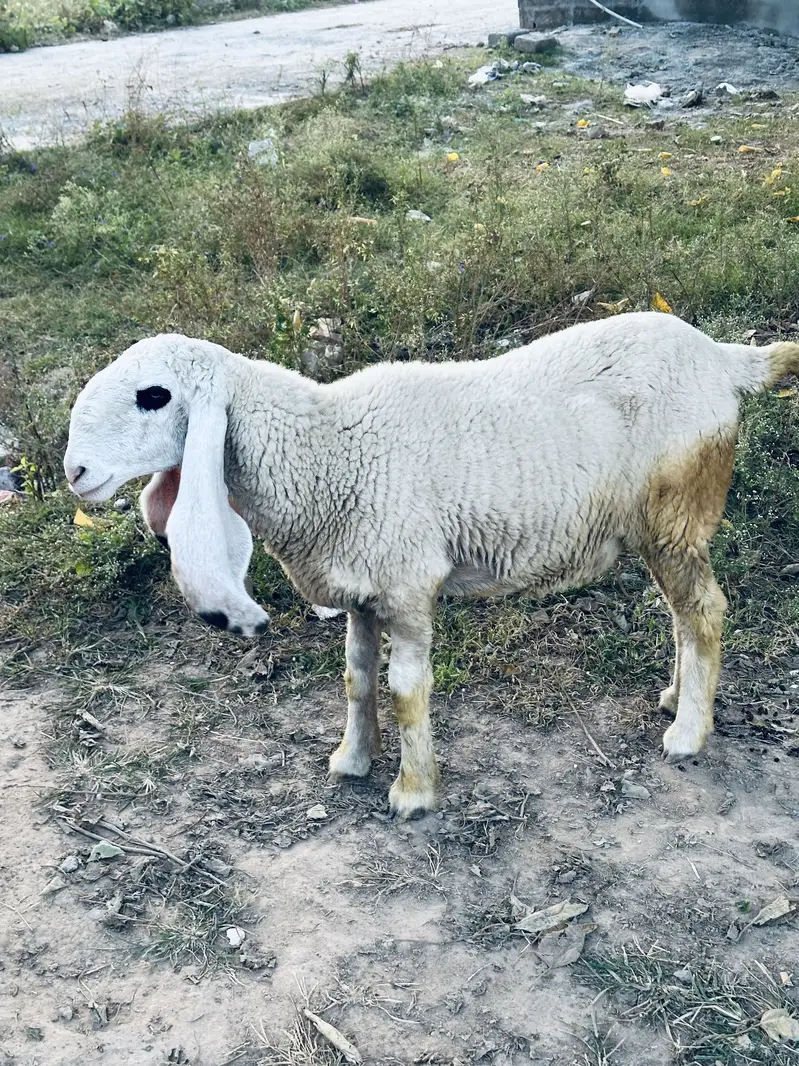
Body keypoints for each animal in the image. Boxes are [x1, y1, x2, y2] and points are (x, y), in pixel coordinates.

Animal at [63, 312, 799, 819]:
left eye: (154, 396)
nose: (75, 473)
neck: (325, 450)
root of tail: (723, 359)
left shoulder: (409, 585)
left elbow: (405, 689)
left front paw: (414, 792)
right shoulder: (361, 591)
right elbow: (357, 679)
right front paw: (352, 760)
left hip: (679, 509)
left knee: (704, 612)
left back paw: (688, 733)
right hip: (659, 525)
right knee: (683, 615)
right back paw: (679, 699)